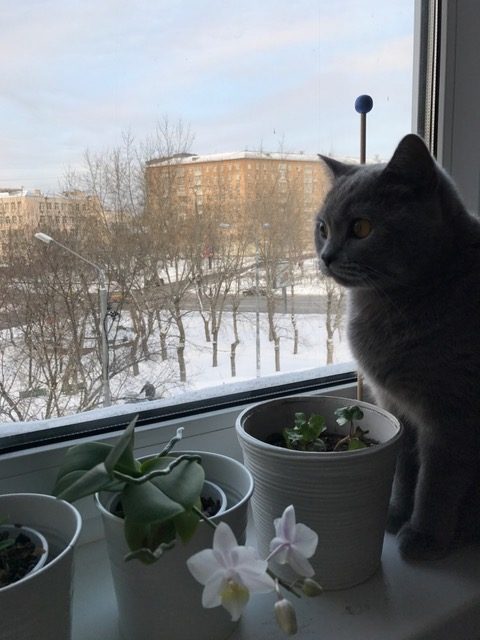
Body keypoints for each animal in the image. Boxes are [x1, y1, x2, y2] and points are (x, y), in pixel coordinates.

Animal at [315, 134, 480, 561]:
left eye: (362, 227)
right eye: (322, 228)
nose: (326, 256)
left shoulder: (453, 416)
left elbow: (436, 483)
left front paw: (424, 537)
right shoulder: (396, 405)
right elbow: (405, 470)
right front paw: (394, 514)